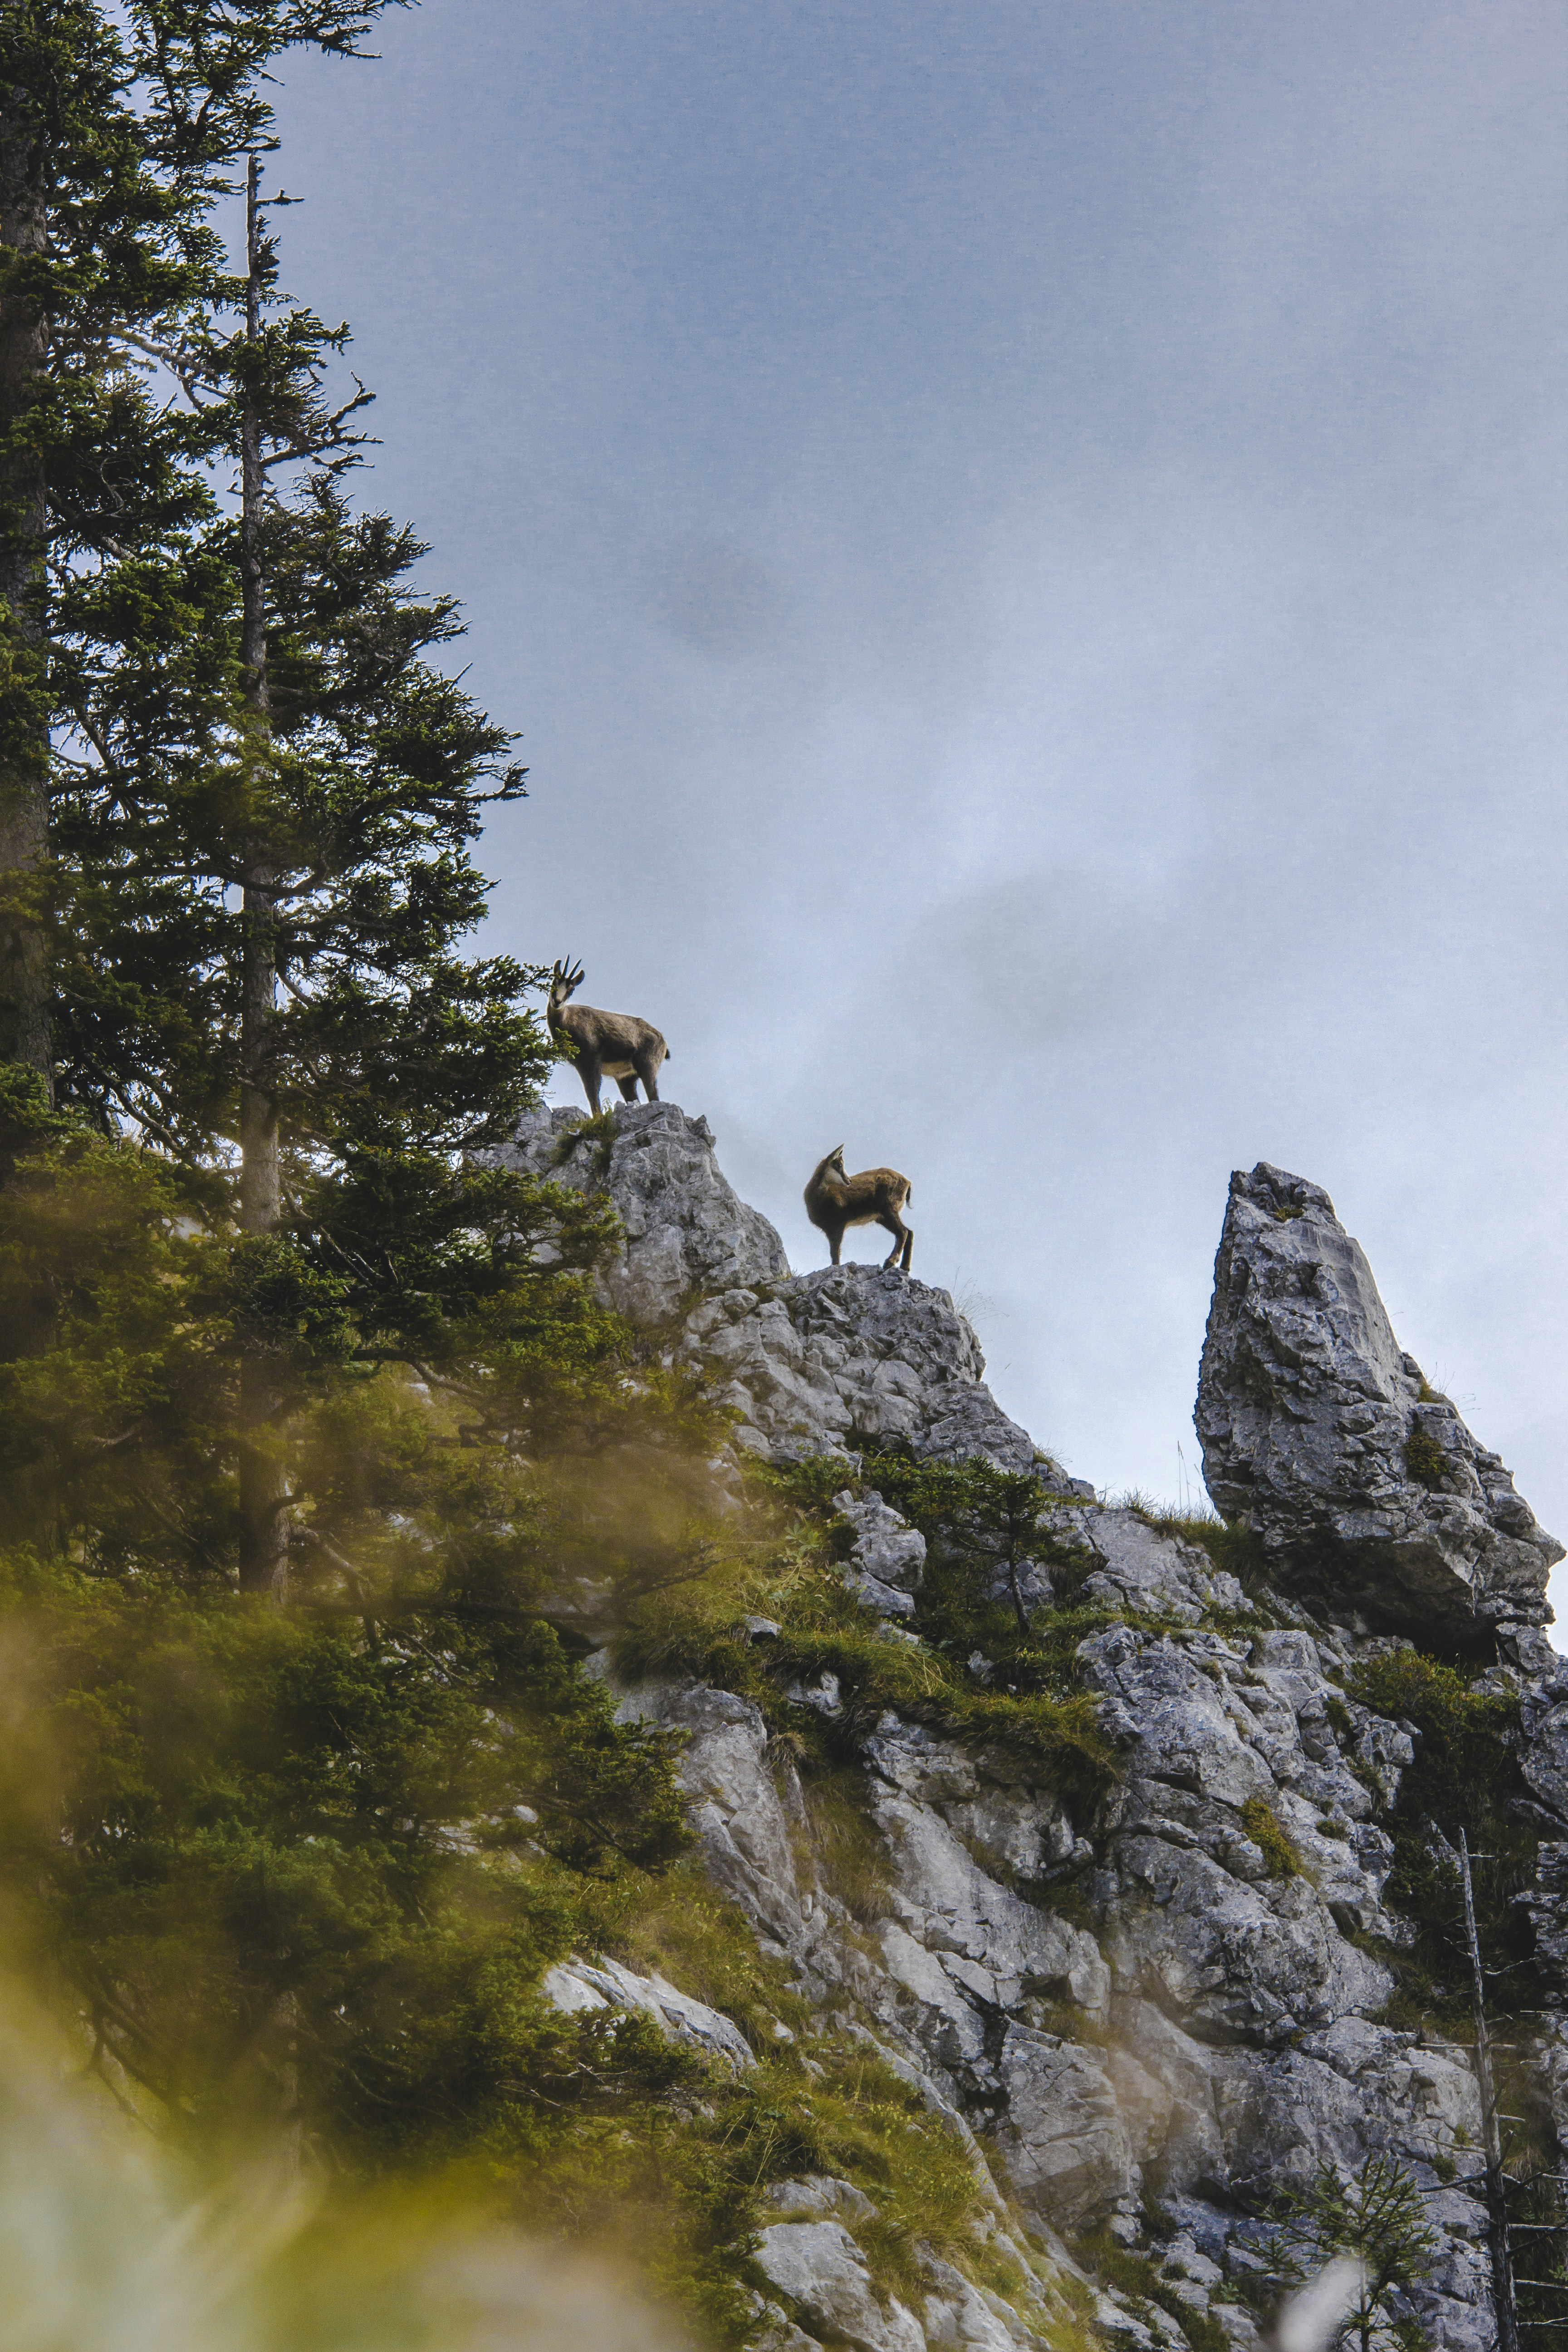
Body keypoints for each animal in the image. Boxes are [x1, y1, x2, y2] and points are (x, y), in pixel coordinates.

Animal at [548, 960, 670, 1113]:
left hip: (647, 1066)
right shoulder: (581, 1064)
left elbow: (593, 1092)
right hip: (626, 1079)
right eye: (553, 983)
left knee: (653, 1095)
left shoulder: (592, 1060)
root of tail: (663, 1042)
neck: (567, 1021)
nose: (558, 1002)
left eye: (572, 990)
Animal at [804, 1146, 914, 1273]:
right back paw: (905, 1267)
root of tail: (908, 1182)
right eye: (839, 1165)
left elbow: (835, 1253)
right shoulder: (829, 1230)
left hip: (888, 1208)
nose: (849, 1181)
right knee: (909, 1232)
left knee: (903, 1232)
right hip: (882, 1218)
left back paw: (890, 1262)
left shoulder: (838, 1226)